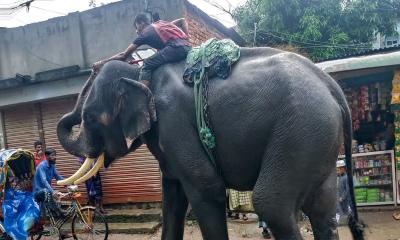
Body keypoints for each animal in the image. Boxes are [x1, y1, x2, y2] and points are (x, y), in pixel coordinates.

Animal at [57, 47, 366, 240]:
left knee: (273, 205)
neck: (140, 75)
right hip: (318, 139)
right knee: (322, 211)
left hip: (300, 128)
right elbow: (172, 199)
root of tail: (332, 86)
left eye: (89, 117)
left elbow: (208, 189)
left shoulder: (175, 122)